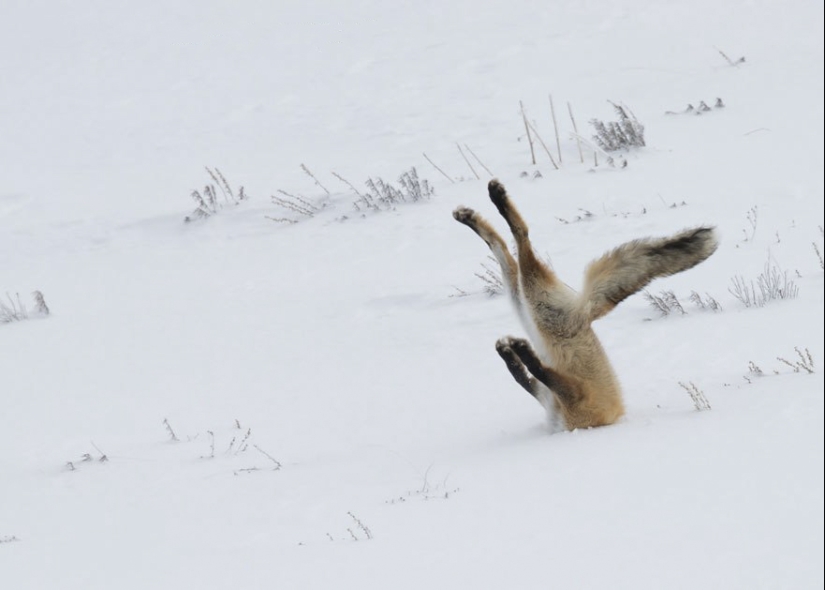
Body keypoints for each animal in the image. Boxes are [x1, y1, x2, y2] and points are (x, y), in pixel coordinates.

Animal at [454, 178, 716, 432]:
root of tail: (586, 312)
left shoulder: (573, 397)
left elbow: (535, 372)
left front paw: (519, 351)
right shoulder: (551, 396)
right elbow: (523, 376)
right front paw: (510, 352)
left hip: (536, 304)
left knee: (521, 238)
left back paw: (496, 200)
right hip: (526, 304)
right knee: (502, 247)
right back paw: (472, 215)